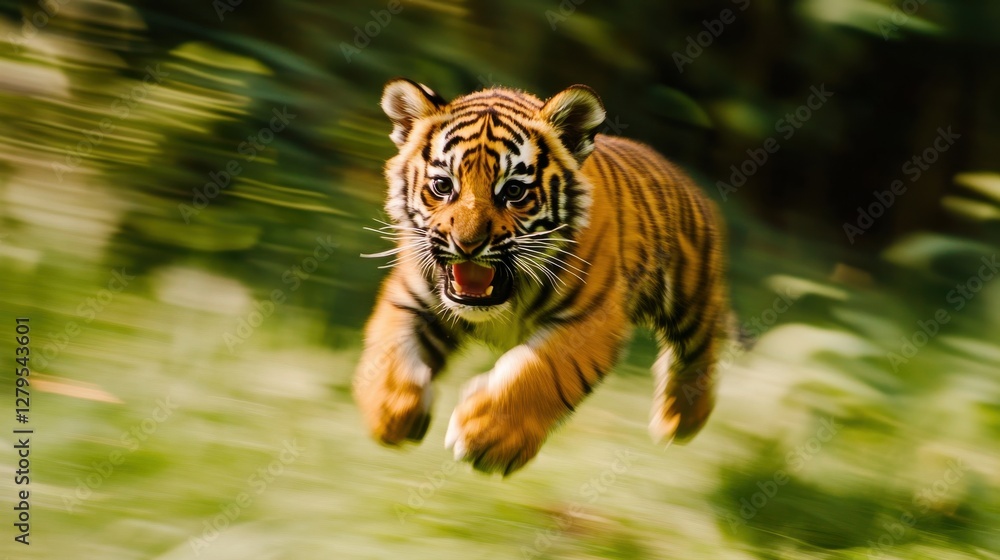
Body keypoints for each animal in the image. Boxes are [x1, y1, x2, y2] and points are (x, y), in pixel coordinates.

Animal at [353, 78, 730, 475]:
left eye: (514, 191)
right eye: (443, 186)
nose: (467, 244)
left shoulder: (592, 319)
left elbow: (539, 372)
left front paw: (488, 437)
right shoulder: (411, 301)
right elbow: (389, 354)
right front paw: (391, 415)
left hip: (691, 297)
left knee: (701, 347)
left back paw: (681, 418)